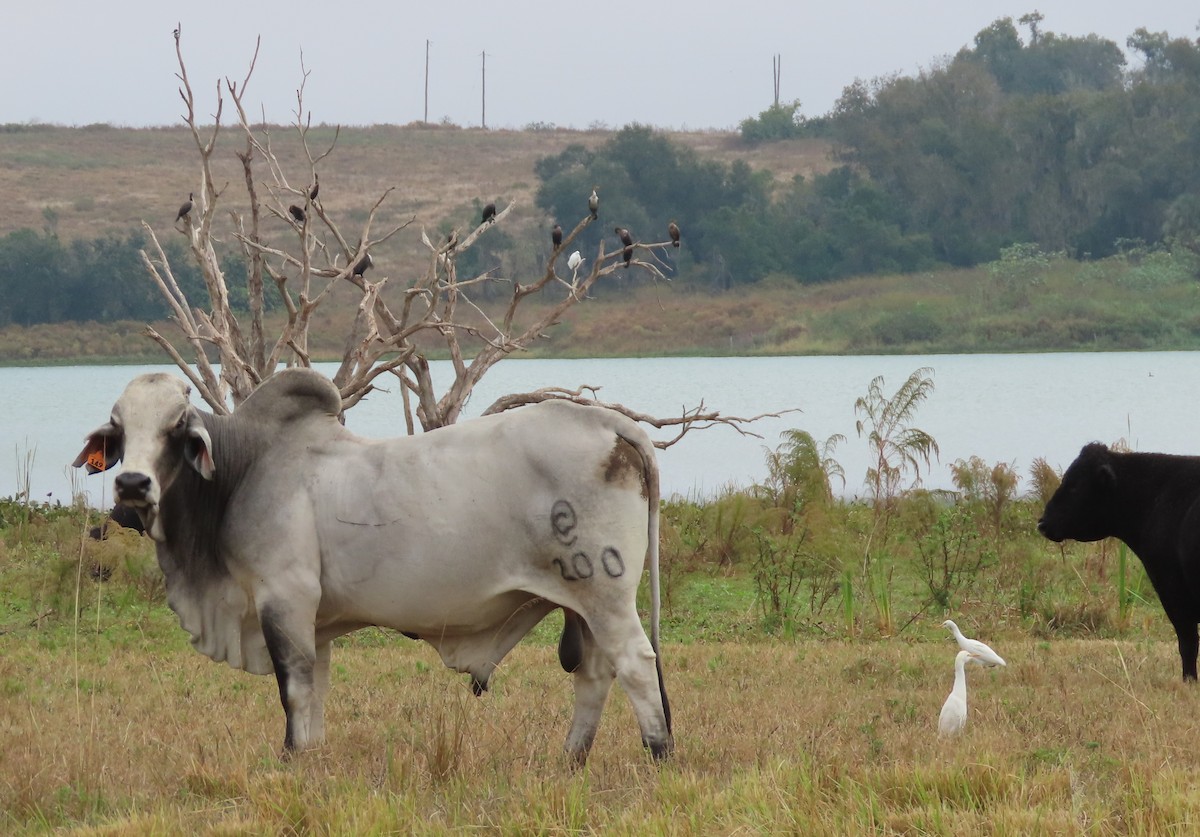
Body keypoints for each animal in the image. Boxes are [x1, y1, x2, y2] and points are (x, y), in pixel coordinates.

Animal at [73, 369, 672, 762]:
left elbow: (292, 687)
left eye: (177, 427)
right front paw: (310, 759)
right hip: (581, 604)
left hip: (605, 592)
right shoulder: (313, 621)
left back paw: (658, 755)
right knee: (594, 675)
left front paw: (289, 761)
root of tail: (608, 423)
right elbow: (315, 689)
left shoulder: (283, 598)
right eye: (118, 429)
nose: (132, 484)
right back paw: (570, 761)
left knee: (637, 664)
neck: (242, 471)